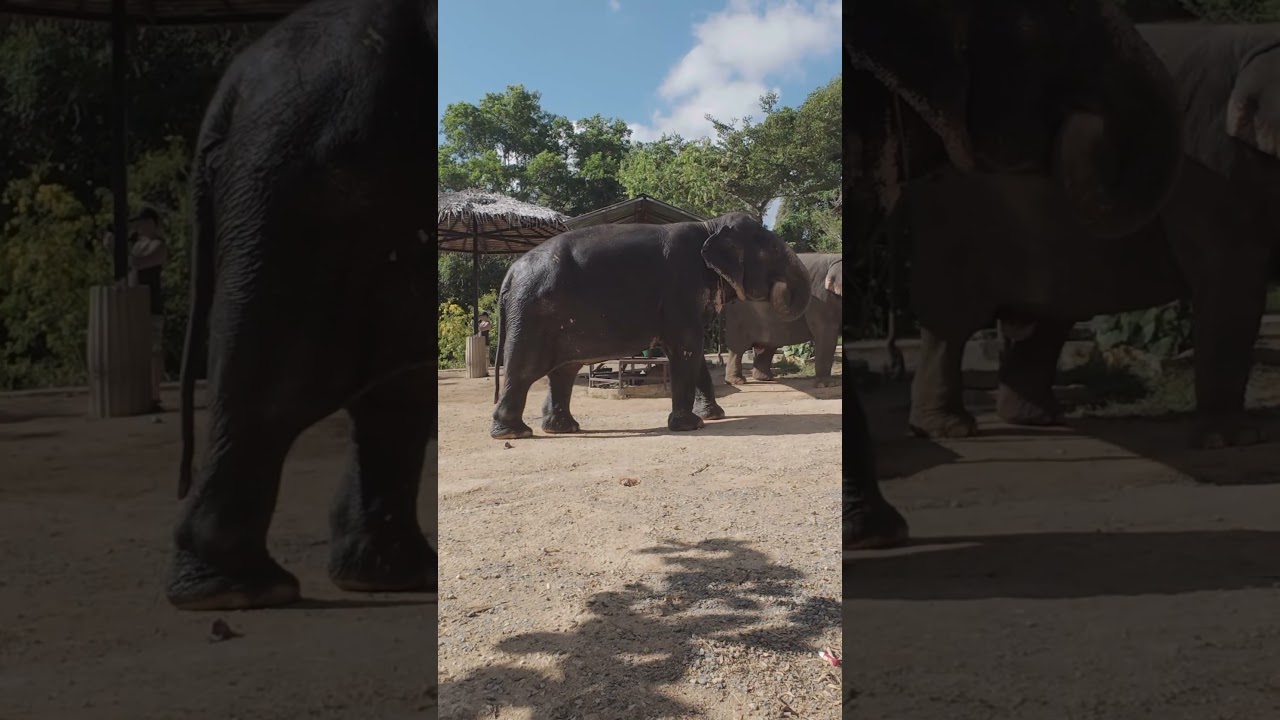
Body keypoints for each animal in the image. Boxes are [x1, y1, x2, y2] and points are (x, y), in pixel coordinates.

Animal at [490, 213, 811, 439]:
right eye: (773, 249)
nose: (780, 287)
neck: (711, 226)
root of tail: (510, 273)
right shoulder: (681, 285)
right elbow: (687, 347)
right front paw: (691, 426)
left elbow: (693, 353)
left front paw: (713, 416)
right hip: (531, 315)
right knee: (525, 369)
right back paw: (514, 434)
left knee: (564, 371)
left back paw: (563, 428)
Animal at [722, 253, 843, 388]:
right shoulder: (820, 298)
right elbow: (826, 333)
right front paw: (828, 385)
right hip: (738, 316)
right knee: (738, 348)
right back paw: (737, 381)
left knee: (768, 346)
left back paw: (766, 378)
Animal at [903, 22, 1280, 449]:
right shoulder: (1212, 163)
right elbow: (1231, 278)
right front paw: (1237, 440)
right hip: (951, 216)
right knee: (952, 321)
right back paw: (951, 429)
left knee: (1047, 316)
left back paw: (1040, 419)